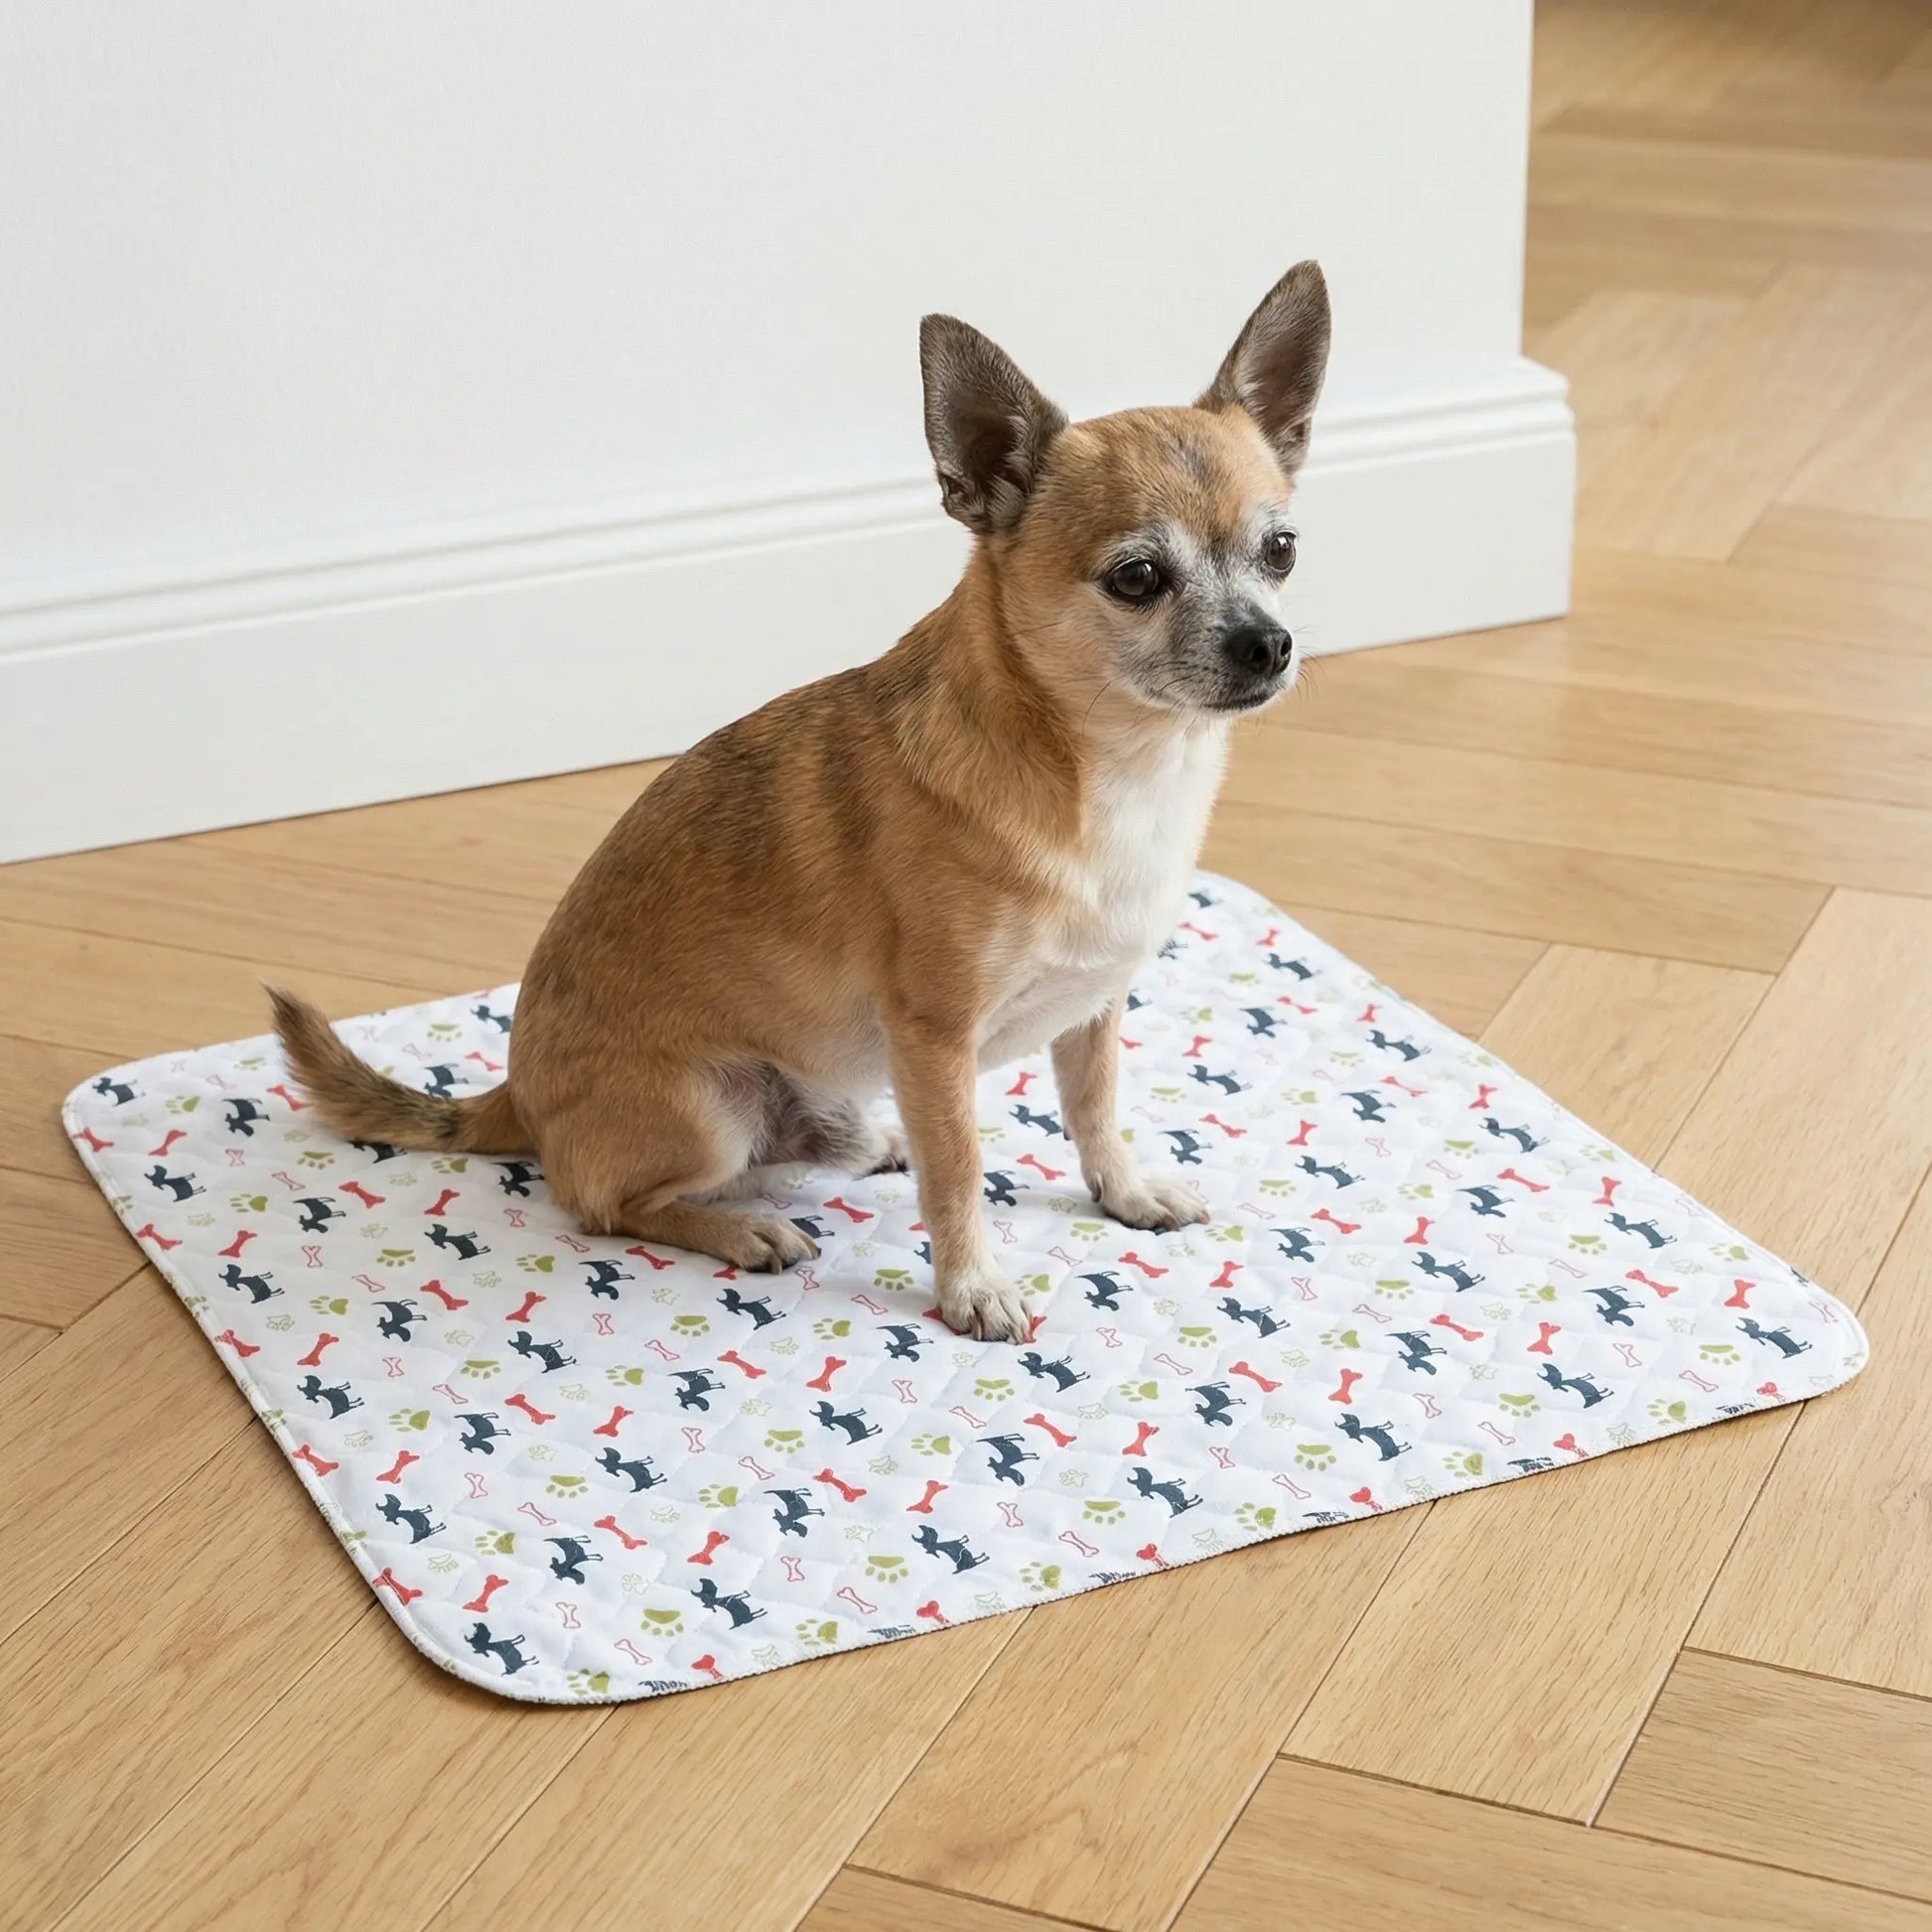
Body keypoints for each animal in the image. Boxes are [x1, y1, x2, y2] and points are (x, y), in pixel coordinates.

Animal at [270, 261, 1330, 1342]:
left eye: (1281, 550)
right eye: (1138, 577)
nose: (1267, 642)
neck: (1118, 768)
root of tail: (515, 1097)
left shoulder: (1094, 1007)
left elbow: (1092, 1107)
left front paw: (1123, 1189)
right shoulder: (934, 1039)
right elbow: (961, 1169)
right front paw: (971, 1284)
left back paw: (864, 1142)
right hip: (708, 1107)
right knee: (606, 1204)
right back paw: (741, 1229)